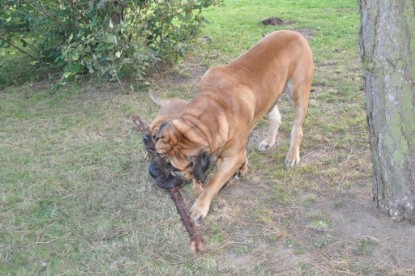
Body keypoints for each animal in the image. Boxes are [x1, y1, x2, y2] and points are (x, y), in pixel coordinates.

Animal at [154, 30, 314, 224]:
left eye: (174, 168)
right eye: (158, 154)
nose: (153, 173)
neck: (211, 109)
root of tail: (296, 33)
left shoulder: (232, 157)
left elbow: (214, 183)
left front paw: (200, 207)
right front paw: (243, 168)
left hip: (299, 91)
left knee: (297, 128)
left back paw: (292, 156)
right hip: (271, 94)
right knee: (276, 117)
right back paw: (269, 142)